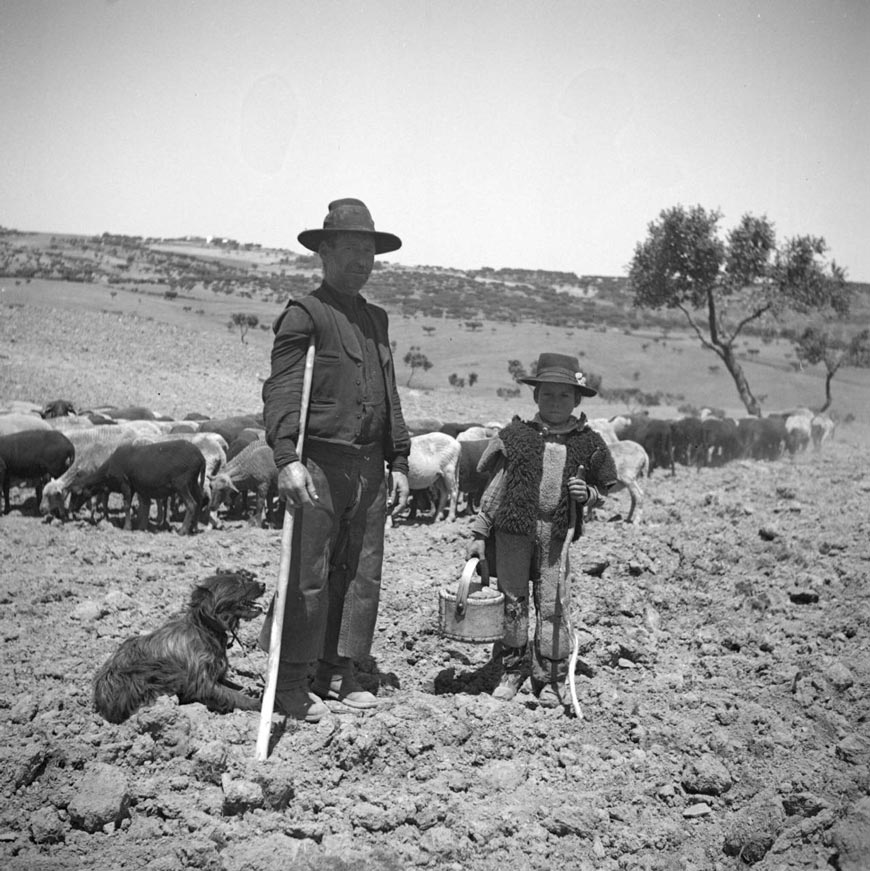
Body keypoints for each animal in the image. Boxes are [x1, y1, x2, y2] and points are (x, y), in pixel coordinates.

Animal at [93, 568, 266, 724]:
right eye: (238, 584)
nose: (264, 584)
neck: (205, 629)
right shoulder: (202, 684)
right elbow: (234, 696)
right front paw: (258, 703)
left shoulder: (217, 675)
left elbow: (235, 687)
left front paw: (253, 690)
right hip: (155, 671)